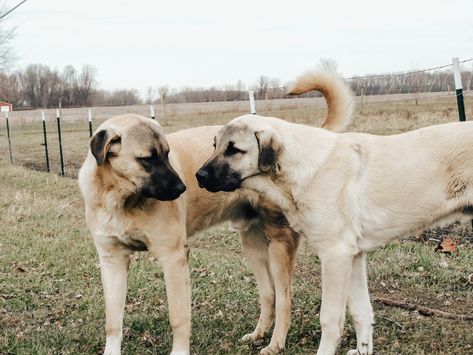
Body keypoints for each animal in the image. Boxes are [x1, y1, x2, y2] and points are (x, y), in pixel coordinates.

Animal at [78, 71, 350, 354]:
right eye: (147, 158)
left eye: (167, 154)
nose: (183, 188)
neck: (120, 199)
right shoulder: (112, 261)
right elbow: (113, 321)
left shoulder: (173, 257)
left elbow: (178, 317)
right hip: (252, 245)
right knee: (269, 294)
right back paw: (258, 334)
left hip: (279, 244)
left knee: (285, 298)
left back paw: (275, 344)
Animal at [196, 76, 473, 354]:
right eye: (215, 146)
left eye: (234, 150)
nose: (199, 176)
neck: (300, 168)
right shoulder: (353, 256)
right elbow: (361, 312)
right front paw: (363, 350)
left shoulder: (334, 255)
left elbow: (329, 318)